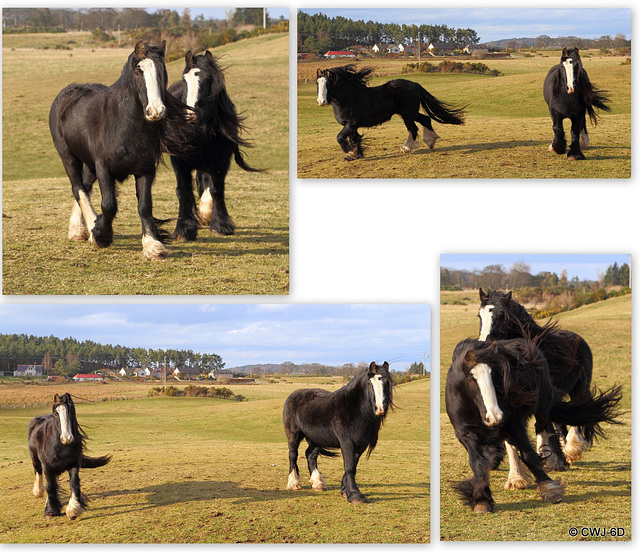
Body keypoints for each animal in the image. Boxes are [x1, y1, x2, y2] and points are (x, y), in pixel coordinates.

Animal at [49, 40, 195, 260]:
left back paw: (77, 229)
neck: (123, 125)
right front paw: (100, 234)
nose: (156, 111)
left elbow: (145, 206)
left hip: (90, 165)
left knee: (85, 185)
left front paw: (152, 246)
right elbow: (109, 205)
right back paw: (87, 228)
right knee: (78, 188)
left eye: (162, 69)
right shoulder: (103, 168)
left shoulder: (145, 170)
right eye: (138, 71)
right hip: (68, 157)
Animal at [170, 50, 262, 242]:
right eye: (185, 79)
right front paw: (184, 230)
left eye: (207, 80)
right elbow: (183, 190)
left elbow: (216, 189)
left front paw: (220, 225)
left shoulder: (221, 162)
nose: (190, 115)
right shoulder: (179, 162)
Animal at [284, 362, 396, 504]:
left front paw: (344, 491)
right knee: (293, 455)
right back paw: (294, 483)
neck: (354, 409)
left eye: (387, 383)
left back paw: (318, 483)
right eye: (370, 383)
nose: (380, 409)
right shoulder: (347, 442)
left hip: (317, 439)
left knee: (310, 455)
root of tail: (293, 395)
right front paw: (355, 495)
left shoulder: (361, 444)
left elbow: (352, 465)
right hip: (293, 435)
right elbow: (349, 467)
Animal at [316, 64, 462, 161]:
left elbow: (340, 137)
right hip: (411, 113)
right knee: (425, 119)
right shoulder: (352, 126)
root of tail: (416, 84)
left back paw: (405, 148)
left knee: (413, 128)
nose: (321, 101)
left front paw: (349, 151)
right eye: (318, 83)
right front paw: (354, 155)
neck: (348, 98)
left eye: (328, 83)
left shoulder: (351, 123)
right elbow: (354, 139)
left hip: (407, 114)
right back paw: (430, 141)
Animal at [448, 336, 624, 512]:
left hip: (543, 406)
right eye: (471, 378)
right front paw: (481, 501)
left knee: (543, 429)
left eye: (496, 374)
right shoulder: (466, 434)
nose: (495, 416)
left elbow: (529, 455)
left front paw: (550, 489)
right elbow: (477, 462)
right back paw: (516, 477)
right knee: (512, 444)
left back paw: (550, 459)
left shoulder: (514, 424)